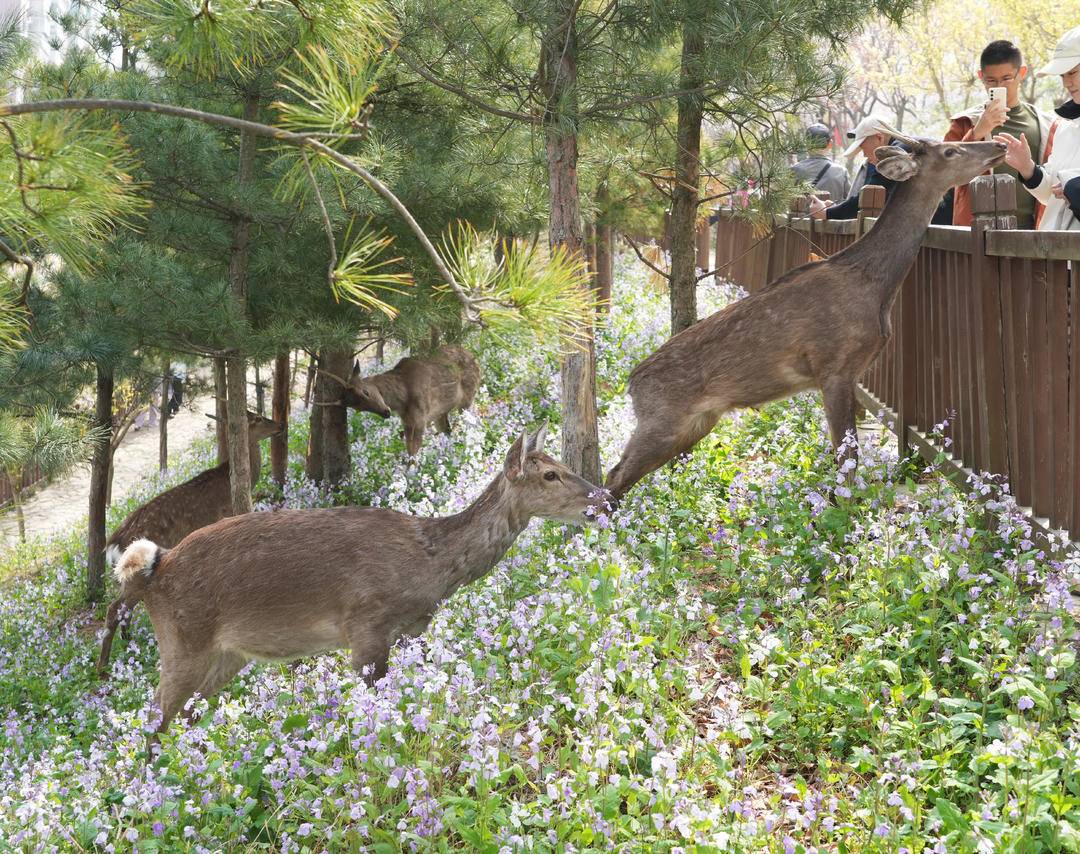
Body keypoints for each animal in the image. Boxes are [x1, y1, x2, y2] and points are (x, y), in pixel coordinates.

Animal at [96, 411, 283, 678]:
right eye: (256, 418)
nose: (280, 425)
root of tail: (114, 542)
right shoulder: (224, 518)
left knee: (123, 609)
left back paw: (128, 643)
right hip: (138, 570)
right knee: (114, 609)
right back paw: (103, 667)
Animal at [108, 424, 600, 742]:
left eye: (559, 464)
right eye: (550, 474)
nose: (603, 500)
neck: (429, 566)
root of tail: (153, 571)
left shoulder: (410, 630)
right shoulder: (366, 626)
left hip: (228, 654)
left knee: (185, 716)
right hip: (184, 642)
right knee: (153, 718)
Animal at [342, 344, 480, 456]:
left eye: (366, 392)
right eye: (358, 408)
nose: (385, 412)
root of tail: (476, 359)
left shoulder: (421, 418)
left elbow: (413, 453)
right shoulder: (407, 421)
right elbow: (409, 448)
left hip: (468, 396)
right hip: (441, 413)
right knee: (447, 431)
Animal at [604, 133, 1008, 503]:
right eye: (950, 151)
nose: (999, 145)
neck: (875, 288)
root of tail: (631, 383)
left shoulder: (851, 373)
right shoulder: (833, 366)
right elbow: (847, 458)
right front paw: (844, 510)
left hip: (699, 421)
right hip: (662, 418)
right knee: (613, 476)